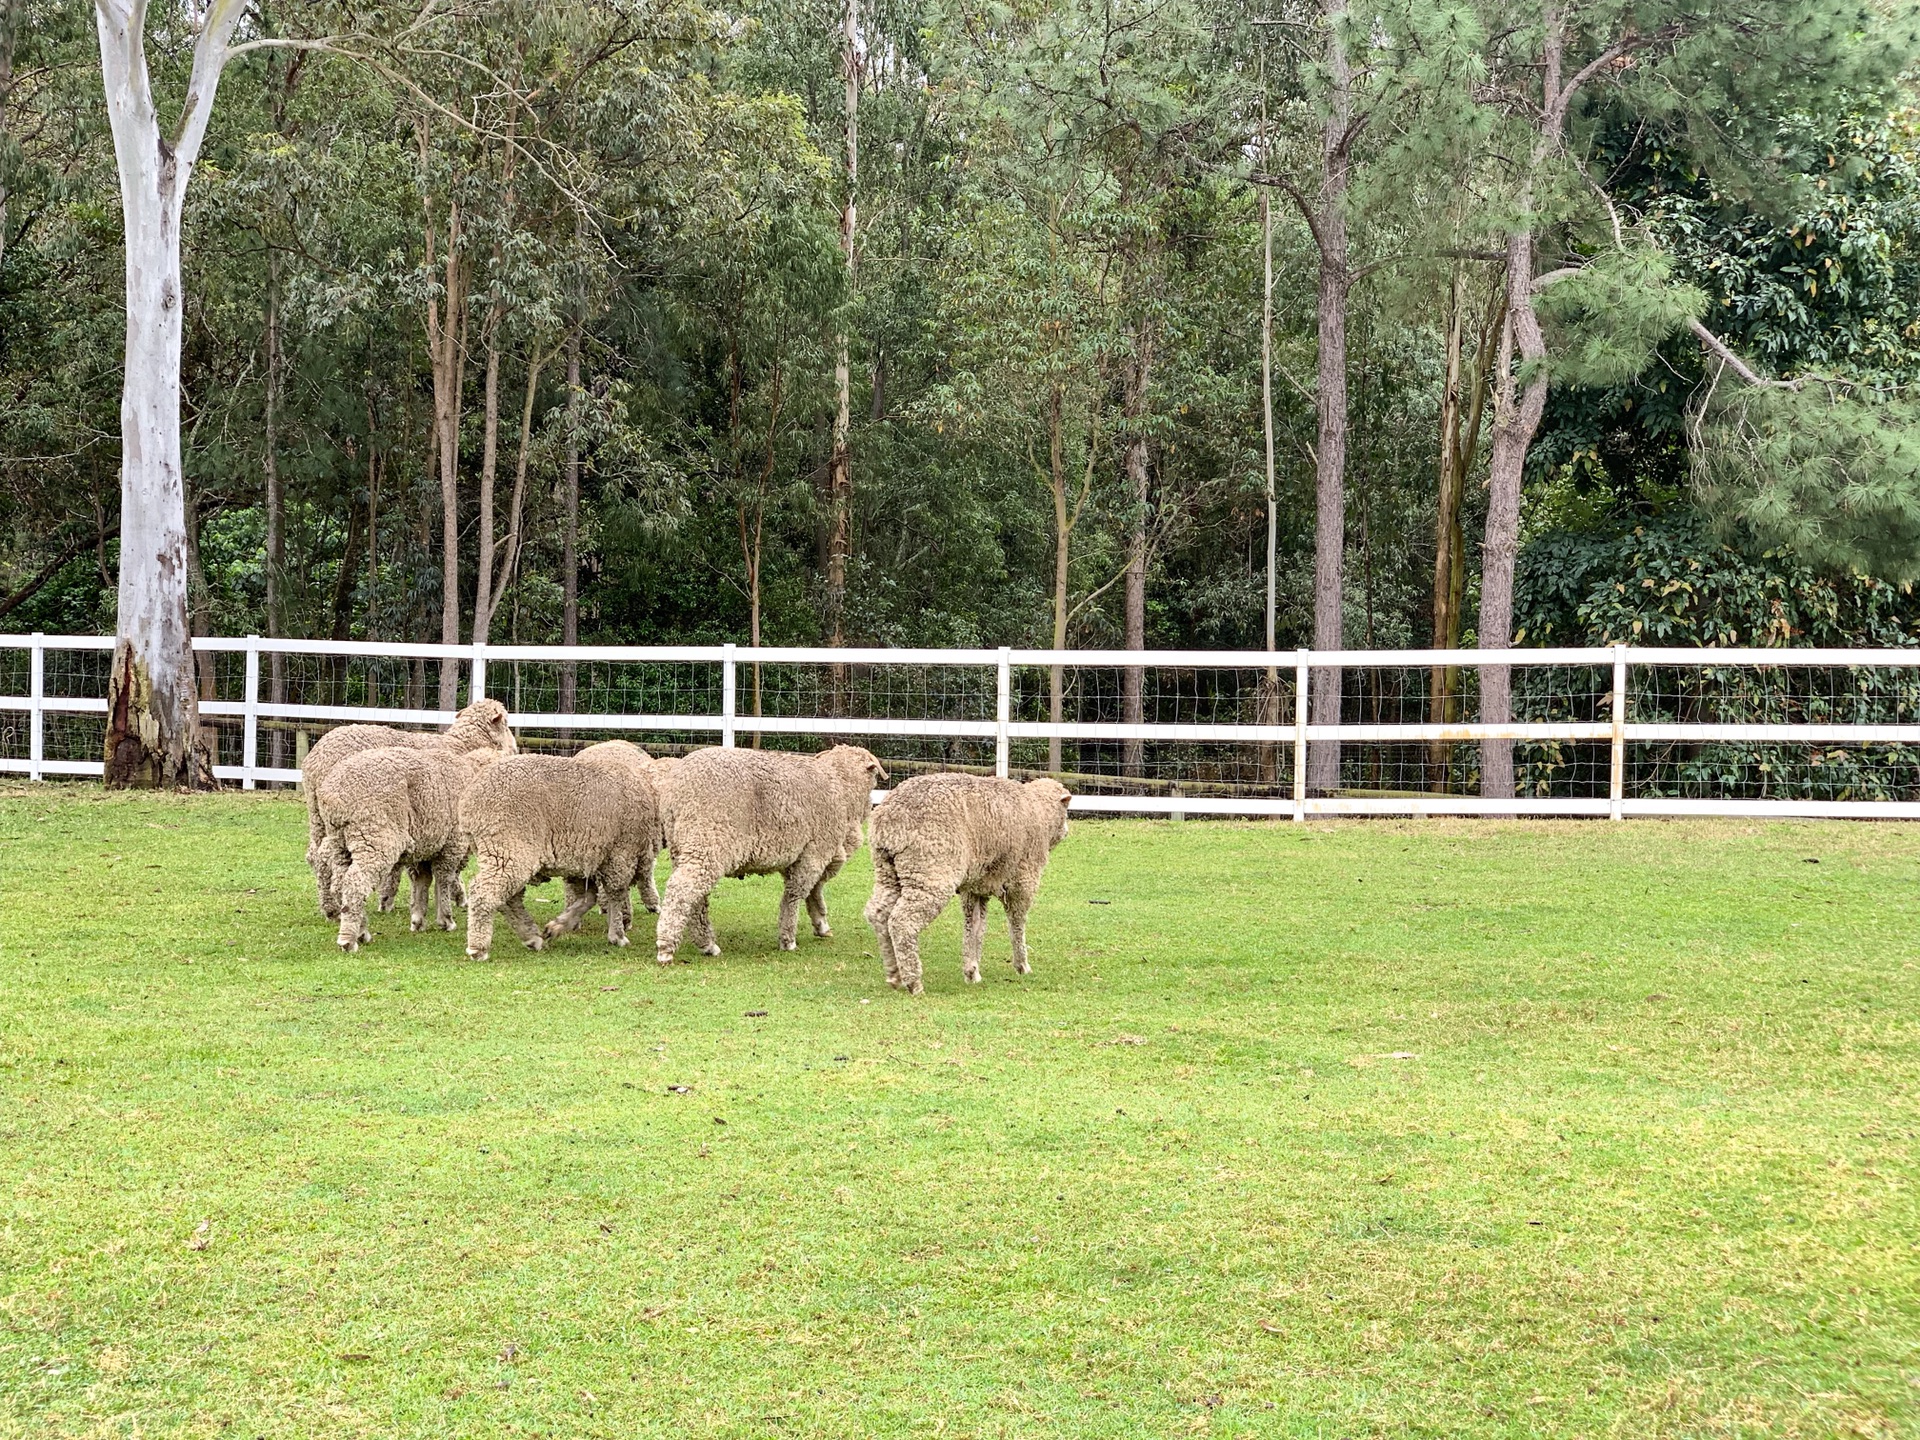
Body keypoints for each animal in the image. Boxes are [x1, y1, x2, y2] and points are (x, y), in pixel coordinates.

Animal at [299, 702, 514, 925]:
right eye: (507, 724)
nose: (514, 749)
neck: (462, 746)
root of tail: (315, 760)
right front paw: (455, 896)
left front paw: (393, 898)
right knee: (326, 857)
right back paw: (335, 909)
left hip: (319, 817)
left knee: (315, 856)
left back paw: (331, 907)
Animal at [312, 744, 503, 960]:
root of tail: (334, 795)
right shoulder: (452, 843)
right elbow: (443, 879)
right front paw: (445, 919)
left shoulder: (425, 845)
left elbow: (422, 880)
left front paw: (418, 919)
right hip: (374, 836)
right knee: (355, 882)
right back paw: (350, 939)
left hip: (340, 841)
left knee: (339, 884)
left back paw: (360, 930)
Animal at [458, 748, 660, 963]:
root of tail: (469, 801)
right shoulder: (621, 853)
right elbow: (615, 894)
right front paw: (617, 935)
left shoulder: (583, 861)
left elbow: (588, 897)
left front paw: (557, 926)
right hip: (509, 846)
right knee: (484, 892)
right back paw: (478, 948)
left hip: (499, 850)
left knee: (509, 899)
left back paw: (531, 937)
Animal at [648, 744, 879, 971]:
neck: (841, 788)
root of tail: (676, 786)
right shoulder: (815, 852)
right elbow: (795, 895)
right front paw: (788, 939)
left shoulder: (806, 856)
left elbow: (813, 890)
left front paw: (820, 924)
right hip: (707, 839)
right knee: (681, 889)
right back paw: (666, 948)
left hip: (683, 845)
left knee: (697, 898)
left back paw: (707, 945)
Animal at [867, 771, 1075, 998]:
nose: (1067, 831)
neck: (1040, 812)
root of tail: (889, 820)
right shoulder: (1023, 880)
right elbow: (1016, 924)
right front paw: (1022, 965)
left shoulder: (975, 887)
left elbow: (975, 926)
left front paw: (971, 971)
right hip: (930, 871)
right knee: (902, 922)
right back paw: (914, 982)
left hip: (888, 872)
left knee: (877, 914)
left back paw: (894, 973)